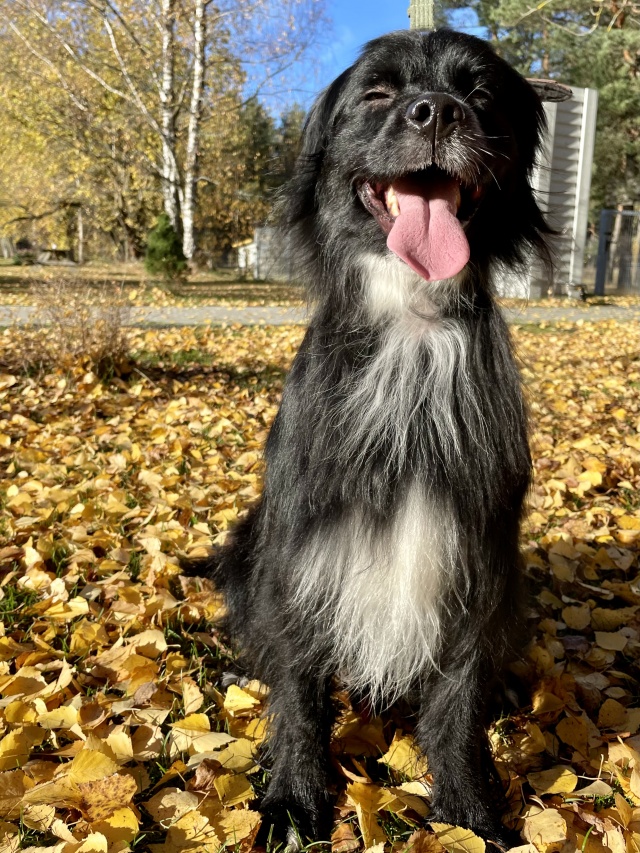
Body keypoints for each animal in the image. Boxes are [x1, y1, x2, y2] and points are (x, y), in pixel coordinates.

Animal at [192, 28, 568, 850]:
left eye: (481, 93)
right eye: (378, 92)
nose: (438, 111)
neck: (412, 327)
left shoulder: (477, 554)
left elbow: (458, 701)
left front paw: (467, 809)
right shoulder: (302, 544)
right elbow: (301, 687)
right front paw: (295, 796)